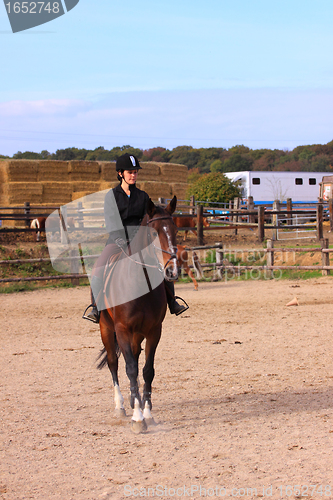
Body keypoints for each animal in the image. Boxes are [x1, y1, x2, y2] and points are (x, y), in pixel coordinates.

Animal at [96, 196, 178, 434]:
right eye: (153, 233)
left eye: (175, 229)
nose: (172, 271)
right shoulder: (122, 329)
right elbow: (130, 369)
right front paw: (138, 418)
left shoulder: (154, 331)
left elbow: (147, 370)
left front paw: (147, 413)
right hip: (106, 329)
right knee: (114, 363)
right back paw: (121, 406)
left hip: (137, 335)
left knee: (133, 355)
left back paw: (135, 401)